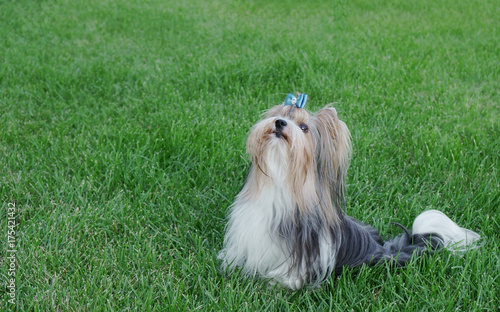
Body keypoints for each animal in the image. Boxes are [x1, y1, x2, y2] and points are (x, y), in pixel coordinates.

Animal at [219, 93, 480, 290]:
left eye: (303, 127)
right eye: (279, 115)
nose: (280, 123)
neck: (281, 177)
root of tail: (382, 249)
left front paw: (280, 283)